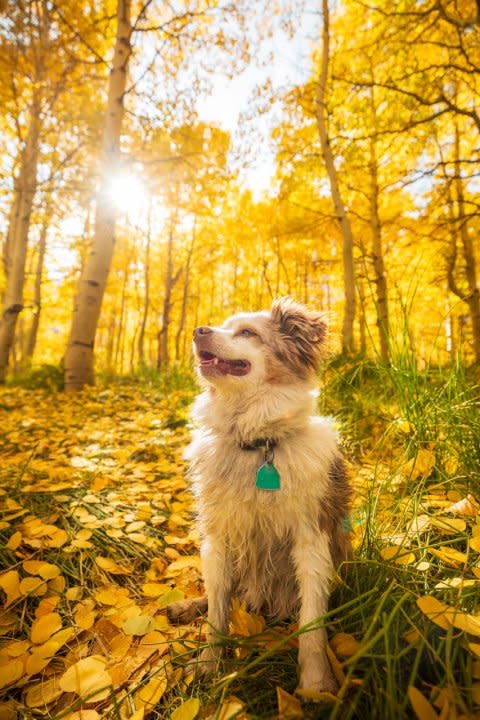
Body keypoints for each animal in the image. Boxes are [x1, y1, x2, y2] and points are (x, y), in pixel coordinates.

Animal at [172, 296, 348, 692]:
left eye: (248, 333)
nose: (197, 330)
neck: (256, 445)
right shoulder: (217, 541)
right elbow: (217, 613)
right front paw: (209, 665)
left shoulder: (312, 541)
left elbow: (312, 621)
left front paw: (316, 683)